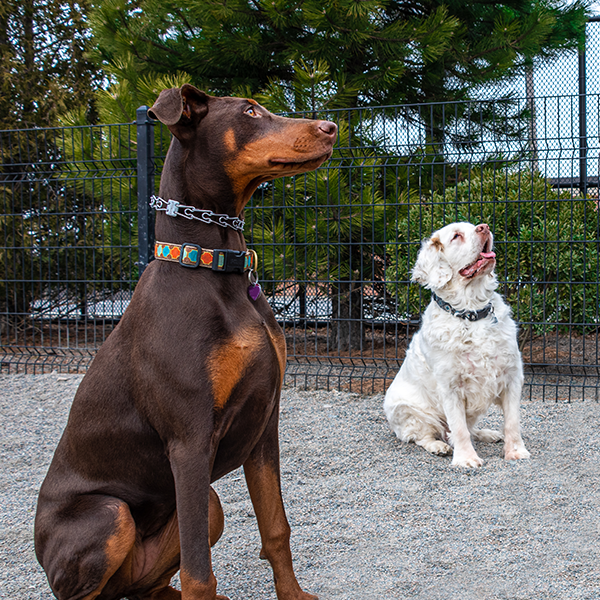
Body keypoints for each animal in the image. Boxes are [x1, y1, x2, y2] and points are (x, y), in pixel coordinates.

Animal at [384, 221, 528, 468]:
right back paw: (438, 446)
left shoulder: (511, 377)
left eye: (475, 226)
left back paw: (487, 433)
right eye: (456, 236)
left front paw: (516, 452)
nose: (484, 227)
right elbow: (459, 428)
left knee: (468, 429)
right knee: (425, 435)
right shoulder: (450, 386)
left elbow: (512, 422)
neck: (471, 312)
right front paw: (466, 459)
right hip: (406, 410)